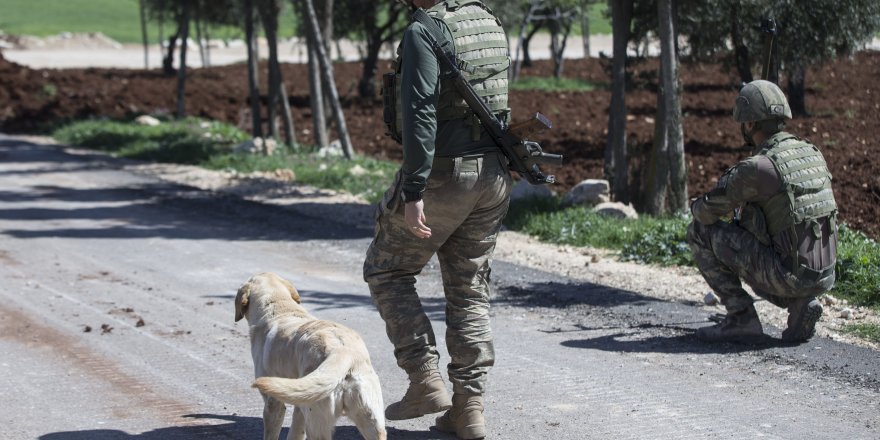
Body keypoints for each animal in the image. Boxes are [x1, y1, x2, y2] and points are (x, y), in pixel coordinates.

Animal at [234, 272, 384, 440]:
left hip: (317, 422)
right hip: (370, 421)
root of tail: (343, 351)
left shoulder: (273, 405)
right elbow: (295, 433)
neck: (279, 306)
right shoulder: (300, 403)